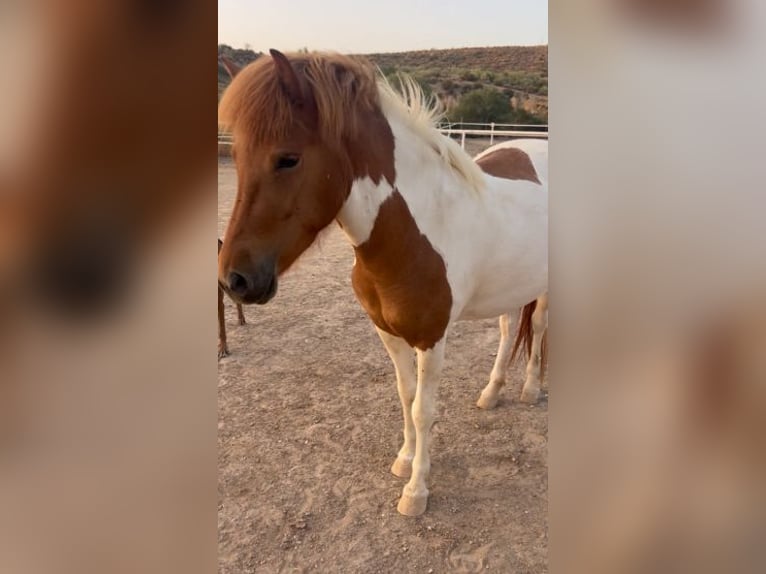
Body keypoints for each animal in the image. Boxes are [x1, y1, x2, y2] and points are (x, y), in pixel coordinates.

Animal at [218, 50, 548, 516]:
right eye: (238, 155)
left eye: (288, 158)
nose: (235, 279)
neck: (416, 229)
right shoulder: (387, 332)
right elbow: (405, 395)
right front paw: (404, 459)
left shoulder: (431, 337)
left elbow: (424, 408)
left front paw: (416, 491)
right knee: (508, 329)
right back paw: (492, 391)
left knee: (537, 327)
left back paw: (532, 388)